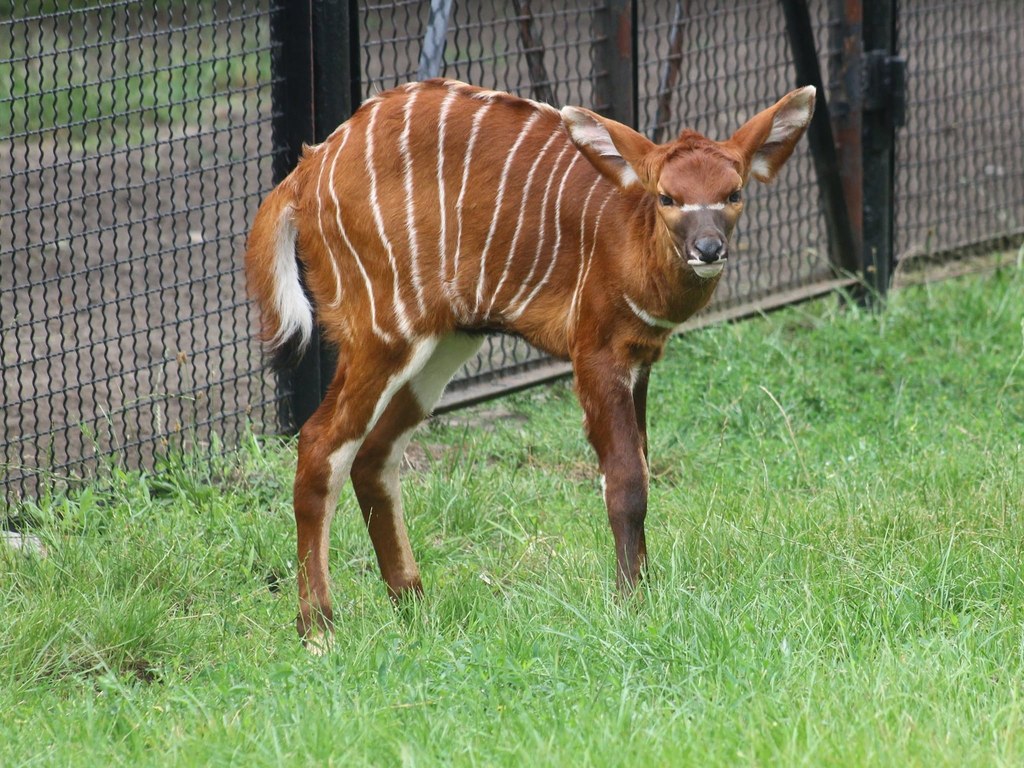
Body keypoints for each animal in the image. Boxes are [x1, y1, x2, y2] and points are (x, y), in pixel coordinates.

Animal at [243, 79, 811, 643]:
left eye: (733, 193)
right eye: (667, 197)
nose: (708, 248)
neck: (632, 234)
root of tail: (307, 172)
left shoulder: (641, 359)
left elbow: (645, 469)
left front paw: (642, 591)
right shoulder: (596, 352)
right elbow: (626, 481)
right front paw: (632, 604)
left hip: (446, 340)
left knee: (374, 454)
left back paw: (414, 606)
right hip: (383, 331)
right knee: (321, 444)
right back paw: (319, 630)